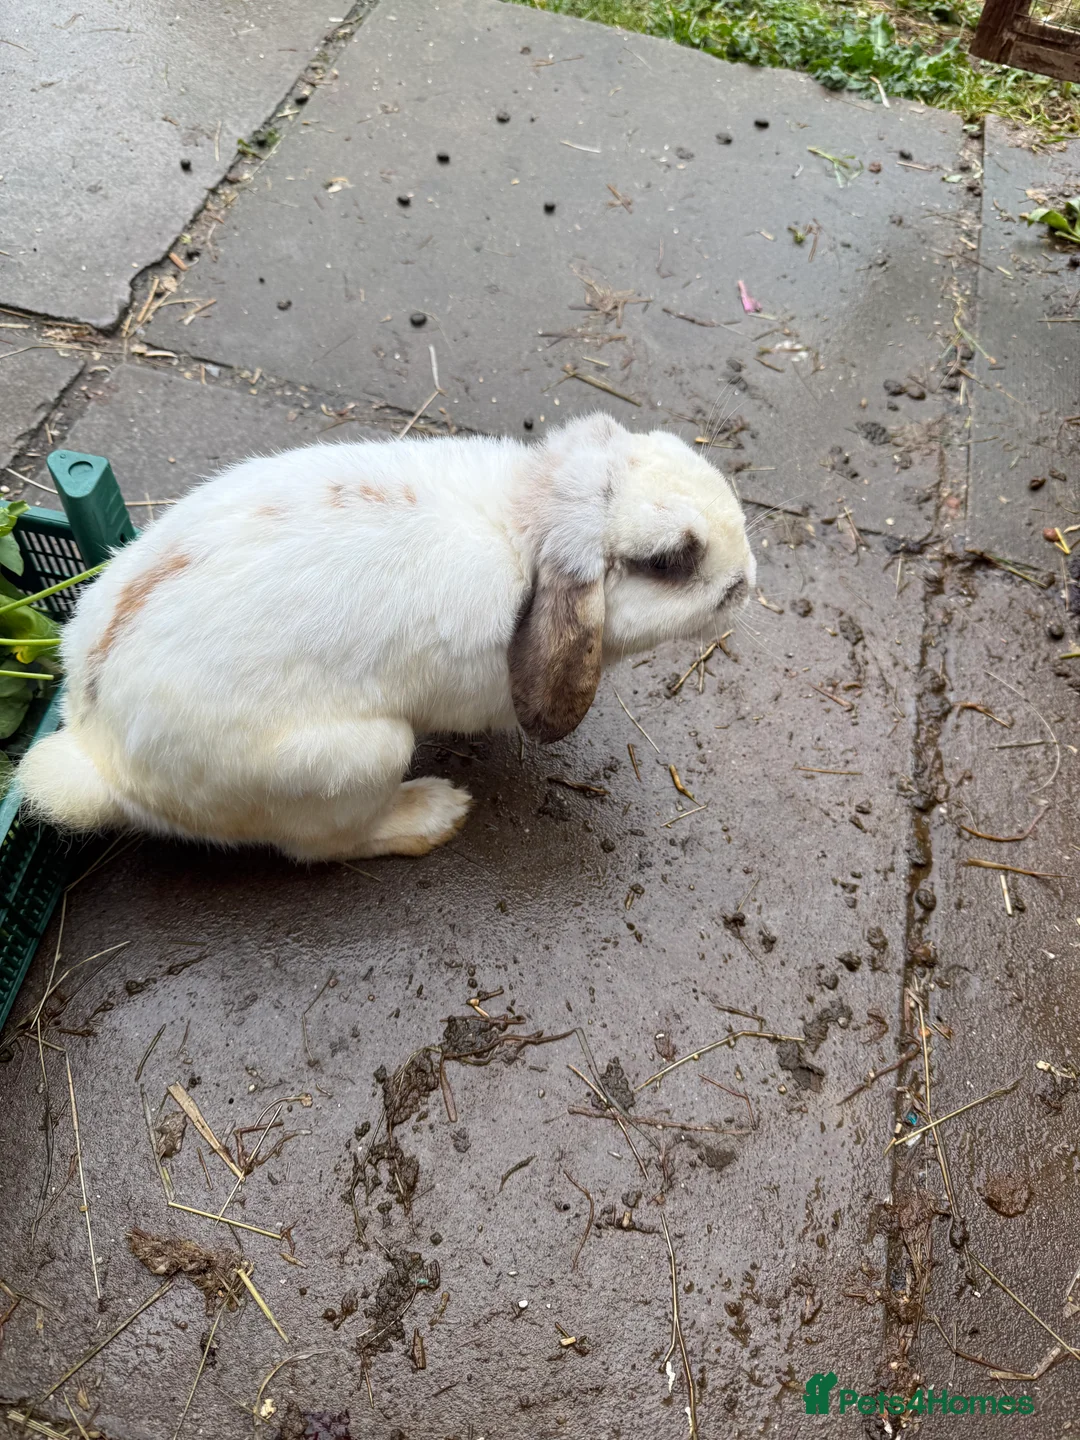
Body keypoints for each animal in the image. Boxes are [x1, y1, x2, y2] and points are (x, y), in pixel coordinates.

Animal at [18, 413, 755, 862]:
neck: (522, 524)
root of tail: (97, 752)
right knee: (322, 846)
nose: (748, 578)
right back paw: (432, 814)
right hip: (360, 758)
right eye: (668, 561)